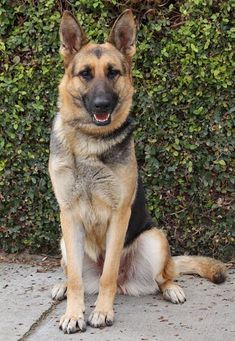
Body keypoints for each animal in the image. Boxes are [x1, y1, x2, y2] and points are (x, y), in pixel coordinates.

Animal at [48, 9, 227, 332]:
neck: (90, 143)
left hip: (155, 239)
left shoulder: (120, 214)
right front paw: (73, 313)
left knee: (163, 275)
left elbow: (107, 275)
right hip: (66, 243)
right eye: (85, 74)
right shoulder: (68, 214)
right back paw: (62, 287)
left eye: (113, 72)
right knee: (73, 273)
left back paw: (171, 288)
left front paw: (102, 311)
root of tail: (125, 283)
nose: (102, 104)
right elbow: (76, 278)